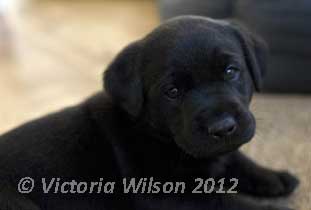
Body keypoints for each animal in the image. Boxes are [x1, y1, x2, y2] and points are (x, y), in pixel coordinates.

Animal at [0, 16, 300, 210]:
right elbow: (230, 202)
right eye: (172, 91)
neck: (153, 133)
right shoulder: (168, 196)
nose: (223, 127)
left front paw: (274, 176)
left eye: (230, 71)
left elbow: (235, 158)